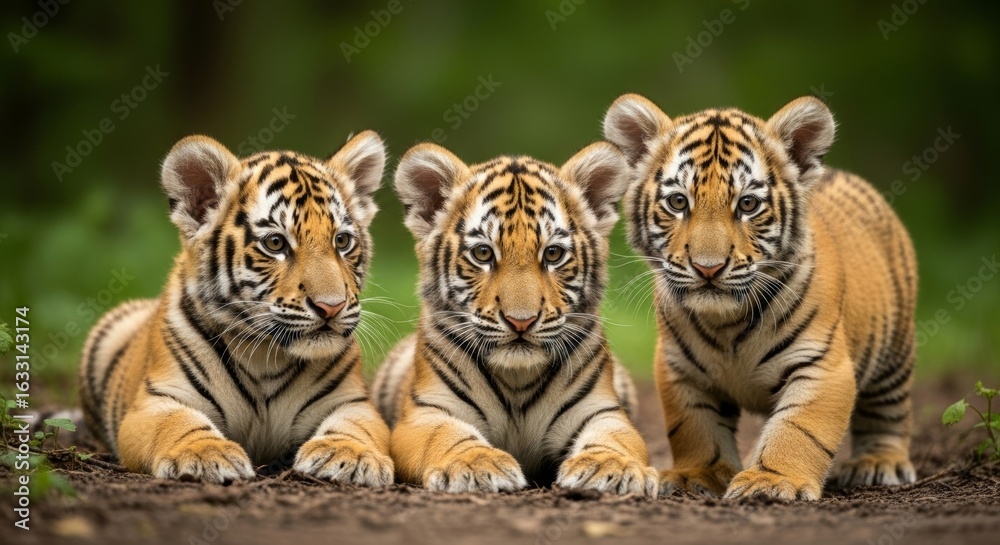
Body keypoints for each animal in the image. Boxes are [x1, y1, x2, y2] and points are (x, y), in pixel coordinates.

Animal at [77, 131, 395, 485]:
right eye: (275, 243)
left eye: (342, 241)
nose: (331, 307)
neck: (265, 358)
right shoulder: (158, 402)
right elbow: (179, 424)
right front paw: (205, 455)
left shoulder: (353, 403)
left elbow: (356, 428)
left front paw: (350, 455)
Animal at [370, 142, 658, 496]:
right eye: (482, 253)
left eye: (553, 254)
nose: (521, 321)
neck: (517, 382)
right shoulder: (427, 414)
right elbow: (448, 436)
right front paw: (476, 465)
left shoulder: (602, 413)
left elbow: (615, 441)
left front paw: (611, 468)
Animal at [602, 94, 917, 500]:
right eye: (678, 202)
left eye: (748, 205)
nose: (708, 268)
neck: (727, 323)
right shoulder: (680, 370)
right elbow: (696, 427)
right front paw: (698, 476)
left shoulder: (821, 365)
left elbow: (799, 429)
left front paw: (773, 480)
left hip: (894, 351)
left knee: (888, 414)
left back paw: (879, 463)